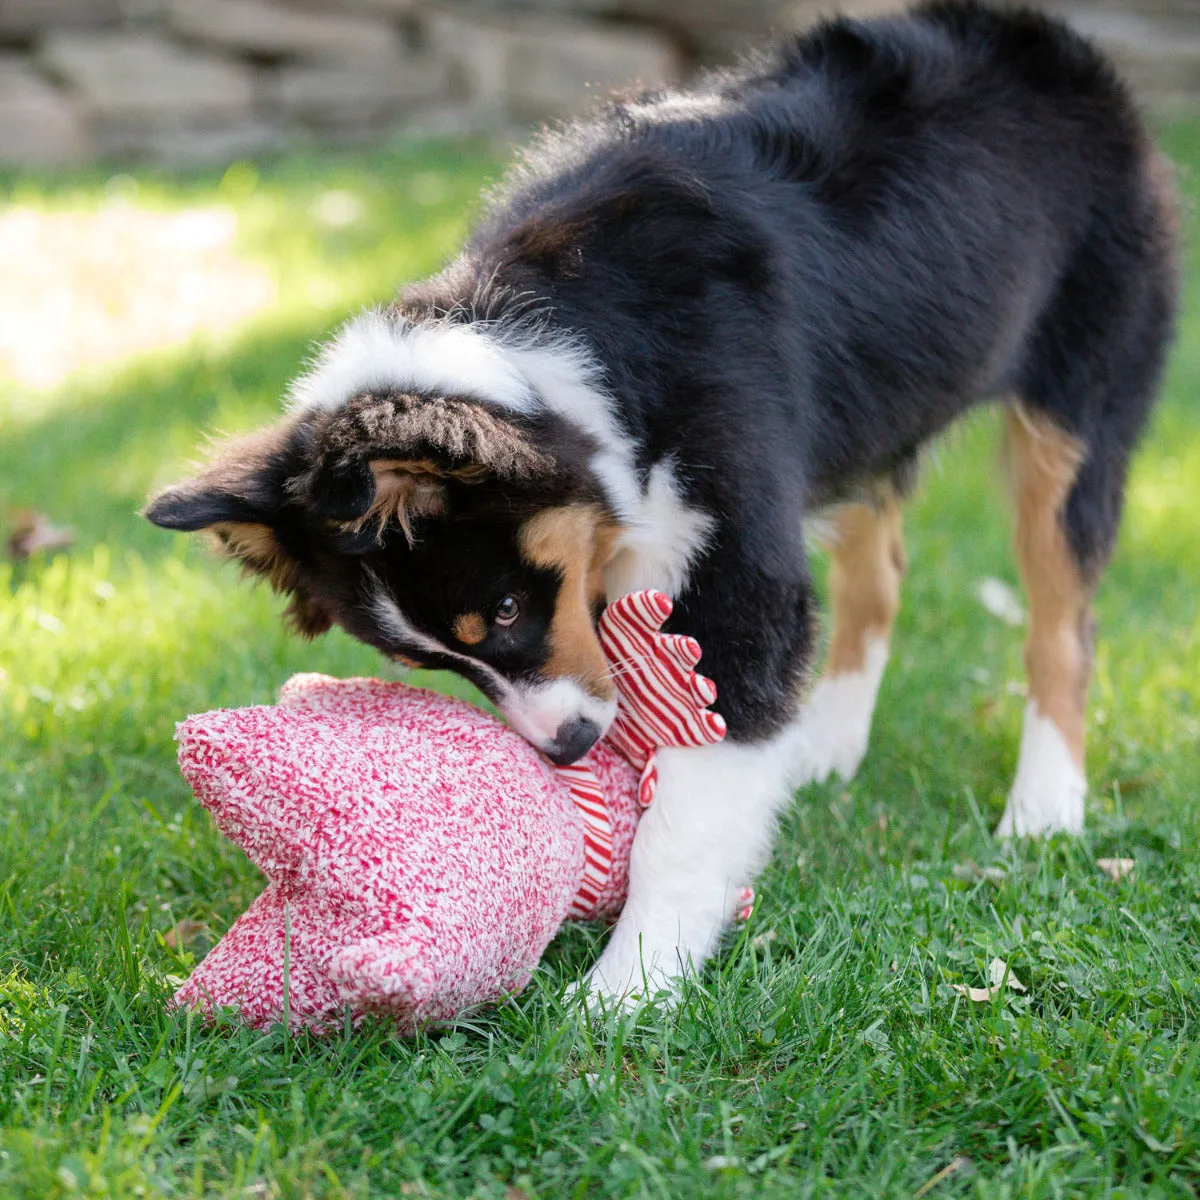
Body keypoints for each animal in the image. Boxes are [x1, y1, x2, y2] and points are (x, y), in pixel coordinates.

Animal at [142, 2, 1180, 1003]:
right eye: (431, 662)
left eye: (507, 608)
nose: (566, 749)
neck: (570, 350)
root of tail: (1039, 36)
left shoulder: (740, 566)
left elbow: (689, 805)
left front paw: (627, 993)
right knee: (879, 572)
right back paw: (828, 747)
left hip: (1075, 404)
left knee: (1062, 620)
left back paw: (1044, 808)